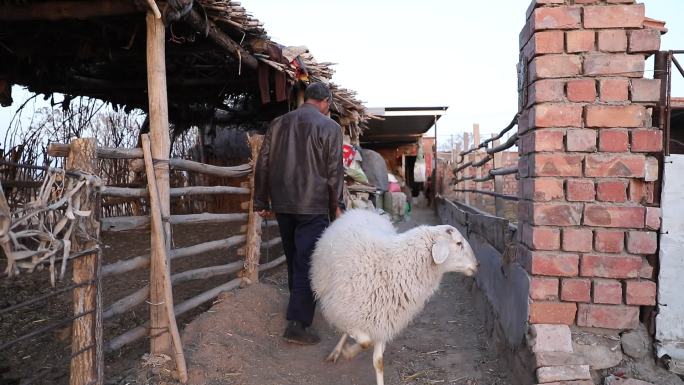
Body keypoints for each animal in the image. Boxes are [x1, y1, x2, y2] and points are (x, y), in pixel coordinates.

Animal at [310, 208, 476, 384]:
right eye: (458, 243)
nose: (477, 265)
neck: (393, 264)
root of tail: (363, 211)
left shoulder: (383, 318)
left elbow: (378, 360)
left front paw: (352, 352)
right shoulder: (341, 308)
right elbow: (365, 341)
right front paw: (348, 352)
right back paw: (336, 351)